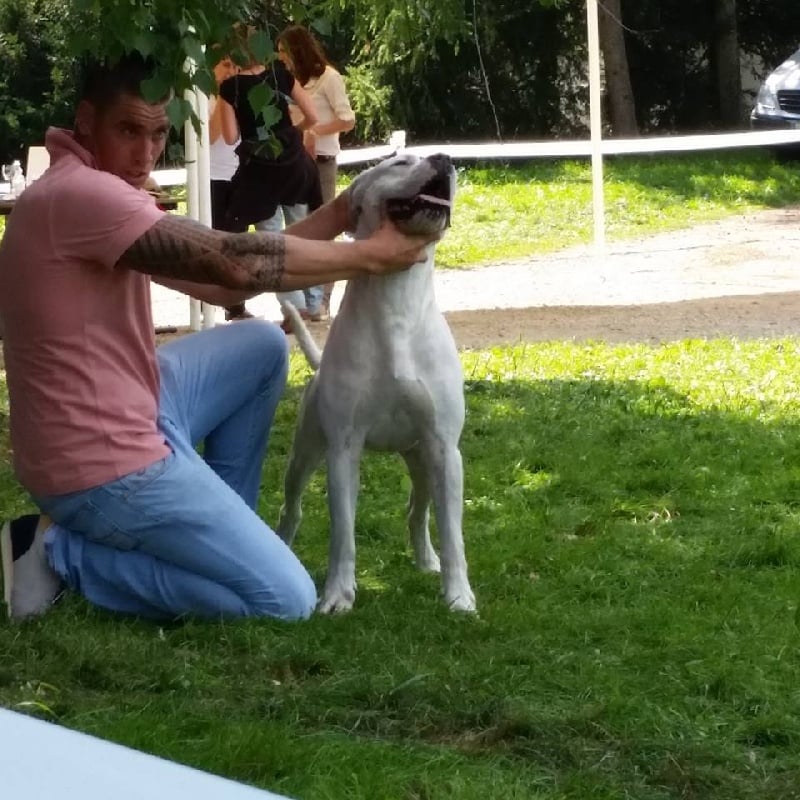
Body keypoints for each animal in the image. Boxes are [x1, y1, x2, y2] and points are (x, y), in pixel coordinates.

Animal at [277, 152, 476, 614]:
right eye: (399, 161)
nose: (444, 158)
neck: (397, 300)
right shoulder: (343, 449)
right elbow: (342, 533)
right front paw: (337, 595)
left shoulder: (445, 448)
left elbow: (453, 534)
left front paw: (459, 596)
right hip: (305, 452)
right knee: (292, 507)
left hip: (423, 460)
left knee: (418, 512)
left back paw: (427, 561)